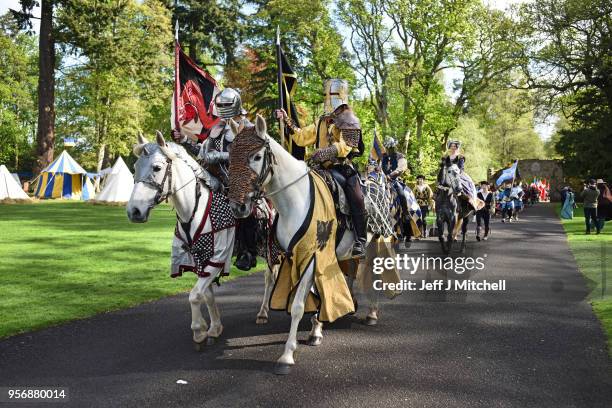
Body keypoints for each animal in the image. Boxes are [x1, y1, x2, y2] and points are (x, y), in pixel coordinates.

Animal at [128, 132, 235, 350]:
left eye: (157, 167)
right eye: (135, 166)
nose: (134, 211)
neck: (194, 209)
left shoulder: (218, 256)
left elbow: (194, 295)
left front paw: (198, 330)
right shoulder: (199, 258)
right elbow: (206, 295)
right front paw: (214, 327)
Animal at [227, 116, 384, 374]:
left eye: (257, 157)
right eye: (230, 156)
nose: (238, 207)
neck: (295, 200)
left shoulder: (314, 255)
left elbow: (299, 305)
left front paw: (287, 355)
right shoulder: (295, 256)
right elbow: (314, 294)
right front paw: (316, 329)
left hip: (377, 242)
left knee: (372, 275)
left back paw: (372, 313)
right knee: (350, 273)